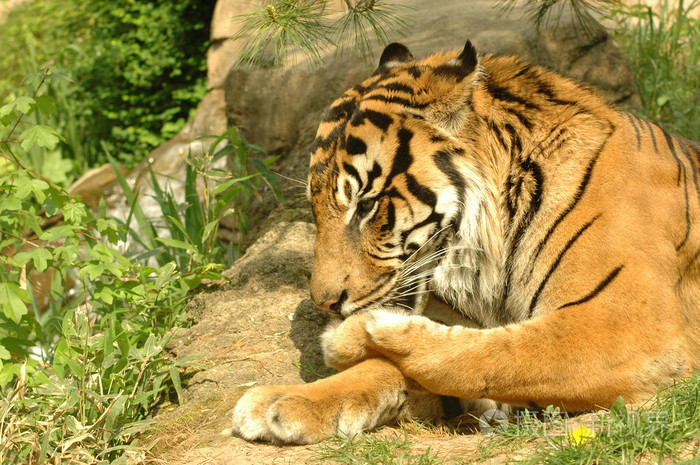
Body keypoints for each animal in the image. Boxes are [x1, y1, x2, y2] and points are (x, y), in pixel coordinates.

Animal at [231, 40, 700, 444]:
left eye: (366, 205)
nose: (326, 304)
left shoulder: (626, 325)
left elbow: (490, 355)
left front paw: (348, 335)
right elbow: (422, 360)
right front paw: (280, 402)